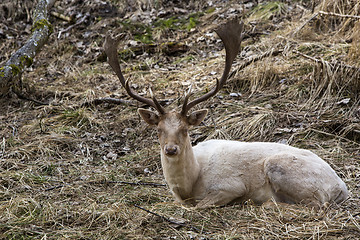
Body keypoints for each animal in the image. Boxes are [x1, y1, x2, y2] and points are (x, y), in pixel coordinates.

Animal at [104, 18, 348, 208]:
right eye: (158, 129)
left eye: (185, 129)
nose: (171, 149)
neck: (190, 185)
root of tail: (342, 187)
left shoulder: (230, 186)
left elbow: (198, 207)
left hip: (282, 169)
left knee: (316, 204)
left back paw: (266, 204)